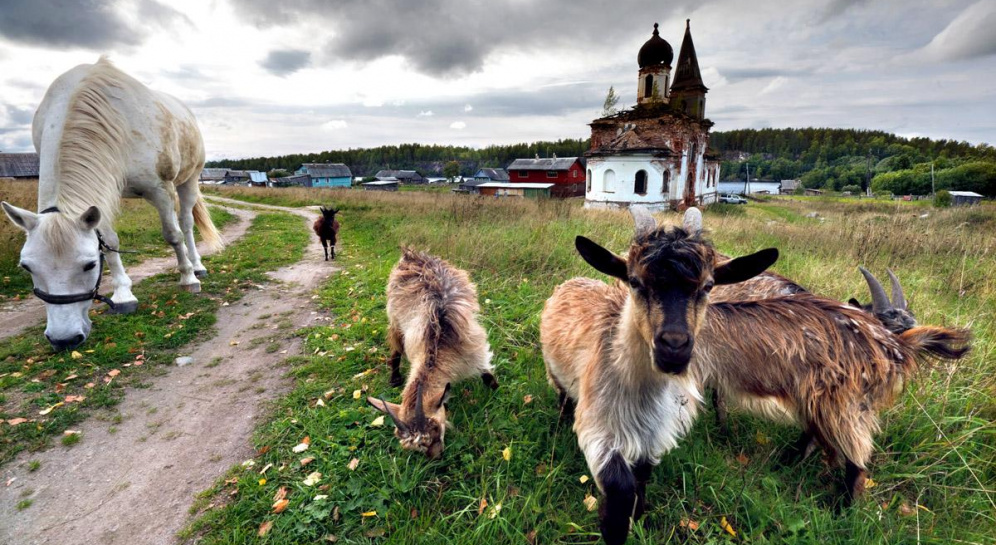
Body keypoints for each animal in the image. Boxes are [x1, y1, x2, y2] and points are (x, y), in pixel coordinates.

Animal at [0, 58, 222, 348]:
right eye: (26, 267)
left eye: (90, 265)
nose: (64, 339)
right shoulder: (100, 193)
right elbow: (110, 242)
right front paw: (123, 295)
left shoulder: (159, 189)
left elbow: (172, 235)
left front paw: (187, 279)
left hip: (189, 181)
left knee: (185, 224)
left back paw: (196, 267)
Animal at [368, 249, 496, 456]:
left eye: (435, 428)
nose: (436, 457)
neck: (438, 342)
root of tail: (410, 254)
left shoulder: (475, 349)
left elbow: (487, 375)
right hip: (395, 317)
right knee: (396, 347)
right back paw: (394, 378)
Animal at [544, 206, 780, 540]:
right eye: (634, 281)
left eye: (708, 286)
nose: (674, 347)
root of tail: (576, 280)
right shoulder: (600, 428)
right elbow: (620, 487)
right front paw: (614, 527)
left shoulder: (654, 434)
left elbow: (641, 477)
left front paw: (639, 514)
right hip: (555, 374)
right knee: (564, 399)